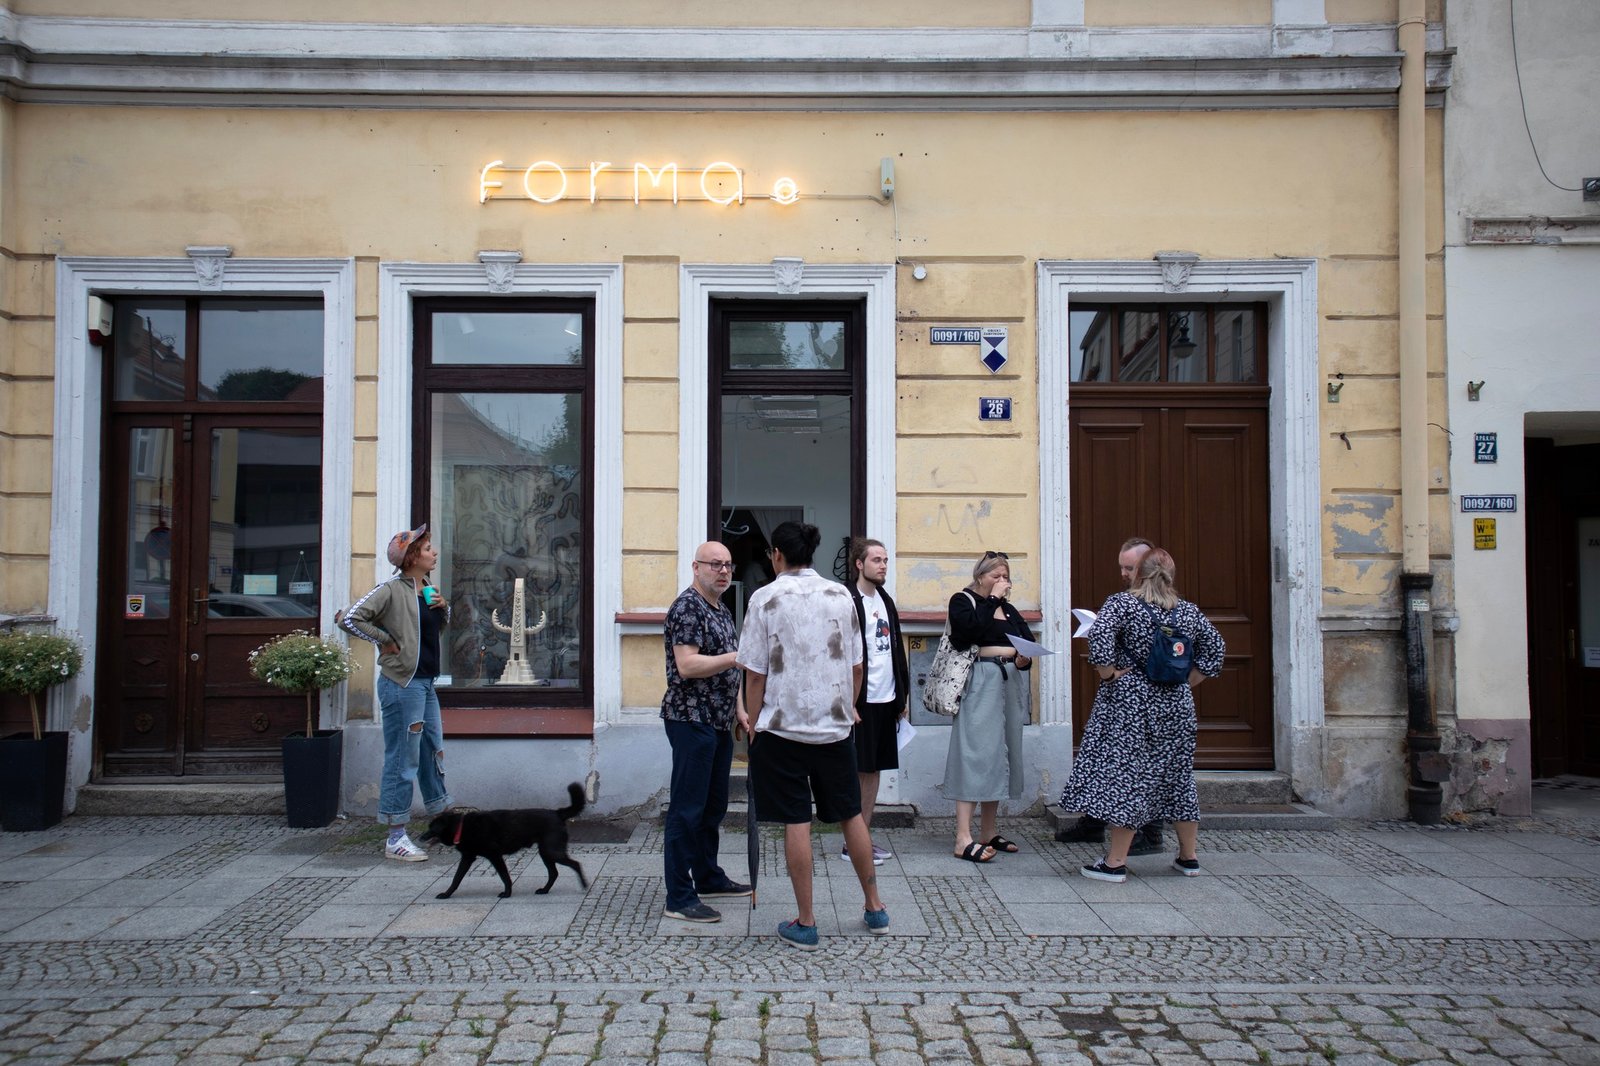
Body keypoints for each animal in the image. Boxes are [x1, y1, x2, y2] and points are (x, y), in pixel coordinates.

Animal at [419, 781, 588, 896]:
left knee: (576, 864)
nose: (421, 837)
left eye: (432, 828)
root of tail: (557, 813)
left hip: (551, 851)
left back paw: (584, 885)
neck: (461, 827)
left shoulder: (495, 856)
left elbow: (505, 876)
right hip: (545, 852)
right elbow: (456, 878)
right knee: (554, 873)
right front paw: (447, 894)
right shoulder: (467, 858)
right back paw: (544, 890)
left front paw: (507, 893)